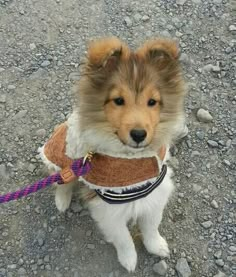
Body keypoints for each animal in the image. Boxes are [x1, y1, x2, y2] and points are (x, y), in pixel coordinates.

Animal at [38, 37, 186, 270]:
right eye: (118, 100)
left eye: (152, 102)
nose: (138, 134)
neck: (131, 159)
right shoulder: (108, 207)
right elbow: (123, 237)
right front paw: (129, 259)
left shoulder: (155, 190)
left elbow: (151, 224)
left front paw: (156, 246)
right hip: (61, 159)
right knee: (62, 181)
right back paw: (62, 202)